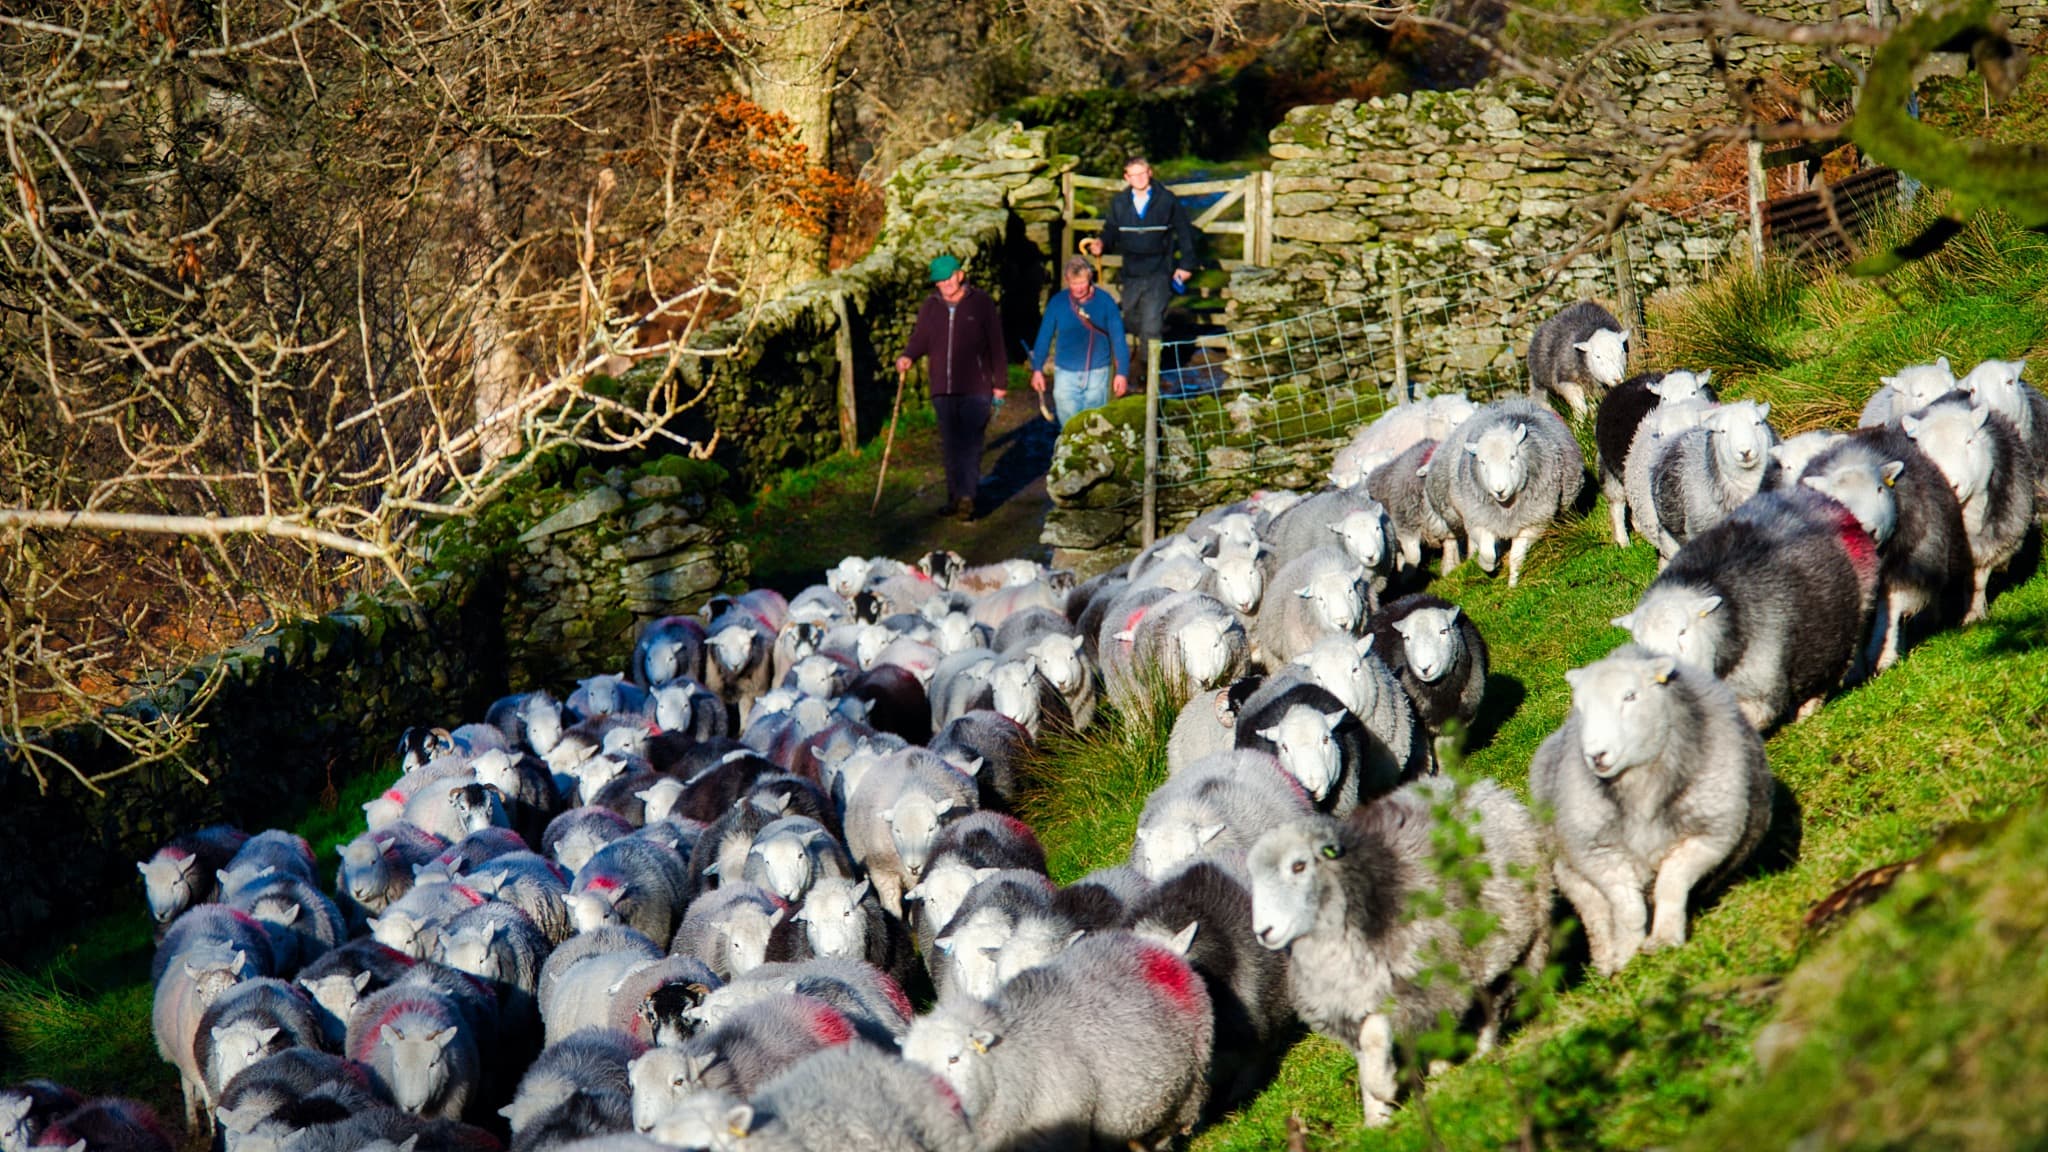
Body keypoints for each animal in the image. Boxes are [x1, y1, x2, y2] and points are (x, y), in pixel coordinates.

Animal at [1245, 770, 1548, 1123]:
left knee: (1494, 1000)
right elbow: (1367, 1053)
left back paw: (1482, 1055)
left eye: (1298, 866)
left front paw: (1385, 1089)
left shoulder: (1415, 989)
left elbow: (1376, 1034)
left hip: (1517, 939)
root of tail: (1480, 786)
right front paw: (1376, 1119)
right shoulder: (1347, 1008)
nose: (1263, 931)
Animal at [1425, 399, 1581, 586]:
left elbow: (1516, 557)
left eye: (1513, 457)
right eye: (1482, 462)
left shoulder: (1532, 523)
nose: (1499, 490)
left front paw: (1513, 583)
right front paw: (1487, 565)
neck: (1506, 507)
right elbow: (1487, 553)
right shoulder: (1480, 521)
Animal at [1540, 647, 1777, 967]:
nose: (1596, 755)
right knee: (1596, 915)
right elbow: (1627, 909)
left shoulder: (1709, 837)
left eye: (1630, 696)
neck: (1641, 787)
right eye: (1580, 707)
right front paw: (1627, 957)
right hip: (1568, 873)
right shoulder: (1598, 853)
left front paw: (1664, 940)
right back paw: (1605, 962)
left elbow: (1670, 884)